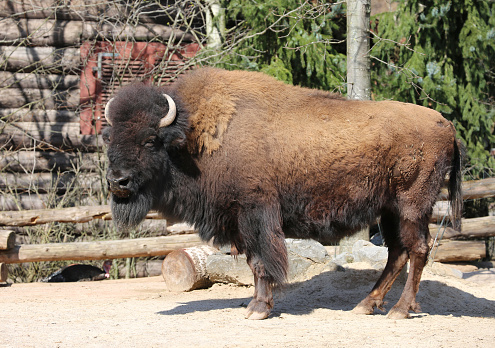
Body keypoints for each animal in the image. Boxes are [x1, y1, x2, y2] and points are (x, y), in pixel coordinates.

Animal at [102, 66, 464, 320]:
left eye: (151, 140)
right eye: (111, 138)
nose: (118, 182)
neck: (195, 136)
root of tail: (446, 125)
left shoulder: (254, 214)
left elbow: (262, 263)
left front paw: (258, 309)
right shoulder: (240, 222)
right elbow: (253, 262)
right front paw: (256, 304)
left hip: (412, 206)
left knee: (417, 249)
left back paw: (399, 310)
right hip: (390, 210)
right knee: (398, 253)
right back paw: (366, 305)